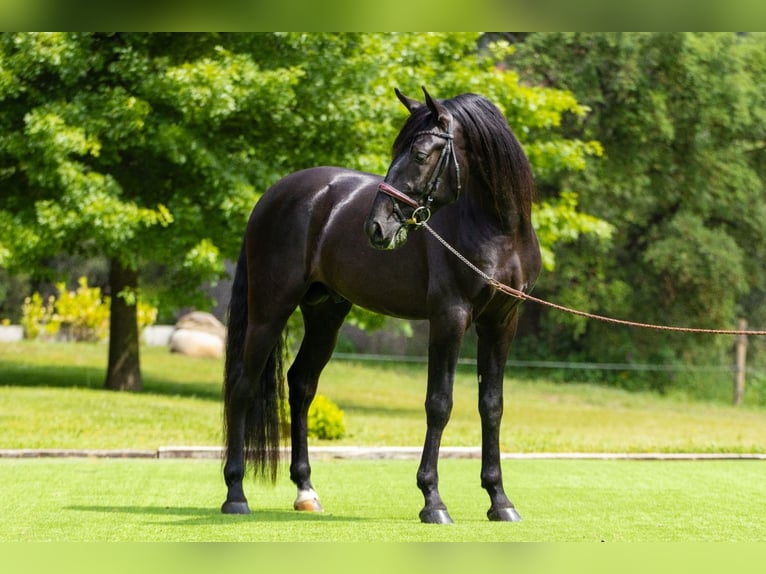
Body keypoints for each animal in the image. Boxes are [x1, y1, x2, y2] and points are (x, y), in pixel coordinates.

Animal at [224, 86, 540, 528]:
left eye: (420, 154)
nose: (377, 227)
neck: (498, 231)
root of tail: (272, 196)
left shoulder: (502, 322)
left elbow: (491, 406)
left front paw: (499, 500)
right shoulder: (449, 317)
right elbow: (439, 404)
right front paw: (432, 500)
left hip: (326, 313)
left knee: (302, 385)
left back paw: (306, 491)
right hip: (270, 310)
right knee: (242, 386)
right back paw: (235, 493)